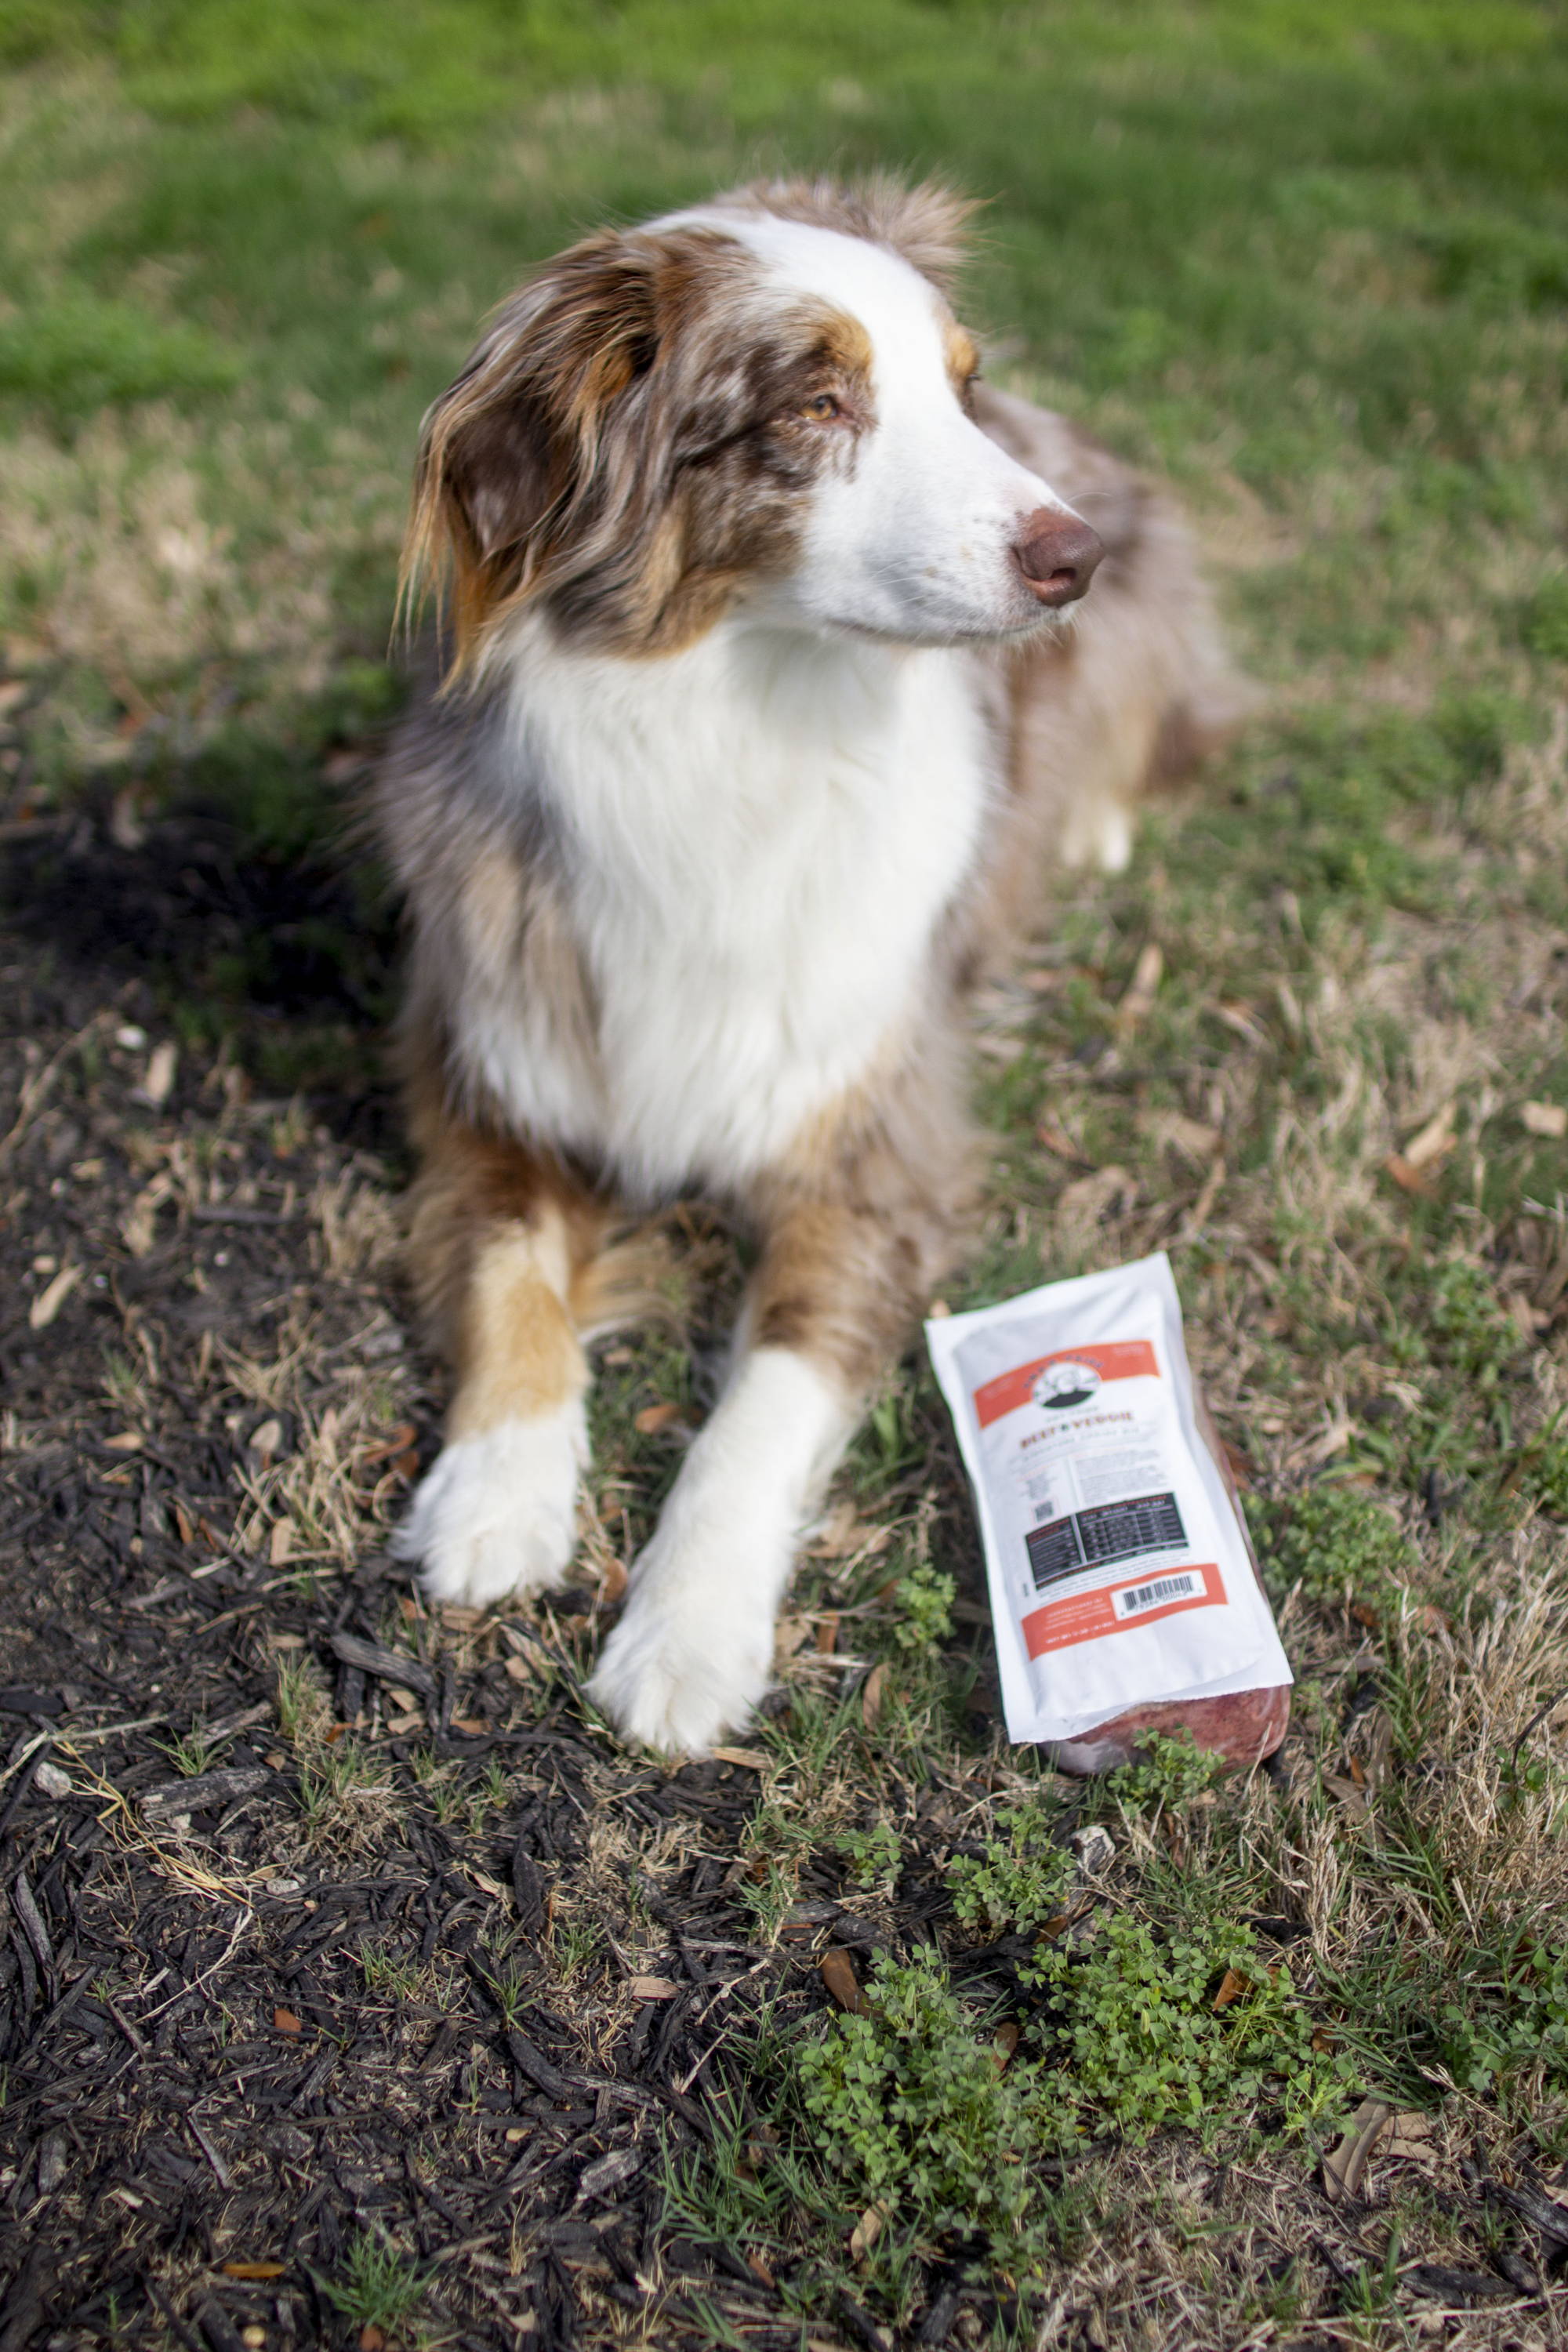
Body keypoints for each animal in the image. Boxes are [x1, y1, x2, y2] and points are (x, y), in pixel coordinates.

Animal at [373, 179, 1241, 1750]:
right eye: (819, 401)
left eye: (962, 390)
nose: (1072, 556)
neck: (742, 729)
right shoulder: (485, 1066)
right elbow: (510, 1278)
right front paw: (495, 1498)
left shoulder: (875, 1152)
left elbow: (756, 1412)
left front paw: (684, 1637)